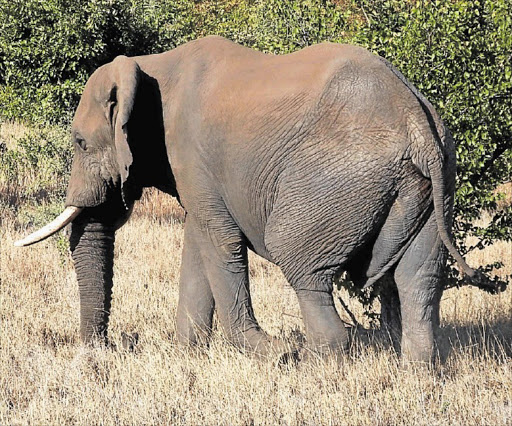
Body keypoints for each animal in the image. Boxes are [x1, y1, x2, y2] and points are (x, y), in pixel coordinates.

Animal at [14, 35, 490, 362]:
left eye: (80, 143)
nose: (104, 349)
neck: (151, 65)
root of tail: (416, 121)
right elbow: (198, 241)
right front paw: (188, 354)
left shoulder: (190, 150)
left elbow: (218, 241)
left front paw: (266, 352)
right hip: (431, 184)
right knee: (416, 278)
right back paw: (415, 368)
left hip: (333, 181)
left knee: (301, 265)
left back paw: (310, 362)